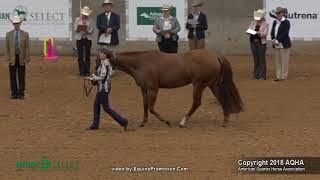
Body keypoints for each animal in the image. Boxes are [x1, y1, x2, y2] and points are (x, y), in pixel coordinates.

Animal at [105, 49, 242, 127]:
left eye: (101, 62)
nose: (97, 80)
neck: (142, 63)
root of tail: (215, 56)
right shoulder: (143, 89)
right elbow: (145, 105)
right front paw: (143, 122)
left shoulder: (153, 89)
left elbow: (151, 108)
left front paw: (167, 121)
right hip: (212, 85)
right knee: (222, 99)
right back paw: (225, 120)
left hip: (199, 84)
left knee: (197, 102)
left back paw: (183, 122)